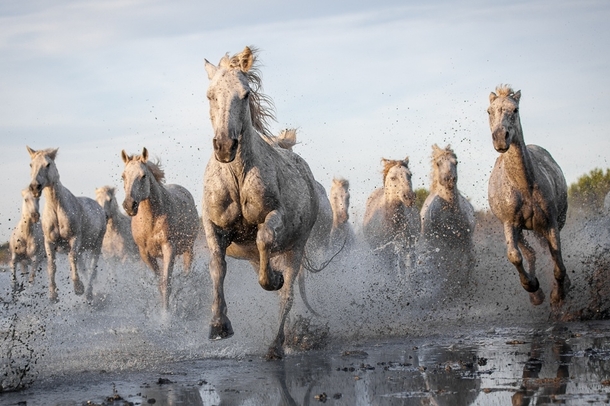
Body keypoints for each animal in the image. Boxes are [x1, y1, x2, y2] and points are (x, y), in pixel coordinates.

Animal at [26, 146, 105, 302]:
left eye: (48, 164)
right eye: (31, 165)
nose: (34, 187)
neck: (56, 209)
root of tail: (99, 207)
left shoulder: (74, 238)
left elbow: (71, 258)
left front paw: (78, 288)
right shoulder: (49, 242)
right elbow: (51, 266)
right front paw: (53, 295)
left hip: (96, 245)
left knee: (92, 268)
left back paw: (88, 293)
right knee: (84, 268)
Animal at [121, 147, 200, 310]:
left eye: (143, 175)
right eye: (123, 176)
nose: (129, 205)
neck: (151, 222)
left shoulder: (169, 248)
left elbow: (166, 285)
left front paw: (166, 314)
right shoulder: (145, 254)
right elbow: (159, 283)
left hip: (188, 249)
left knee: (187, 272)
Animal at [201, 46, 324, 360]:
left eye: (245, 95)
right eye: (210, 95)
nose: (224, 147)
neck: (237, 175)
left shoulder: (273, 216)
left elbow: (264, 238)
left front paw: (273, 279)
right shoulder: (213, 225)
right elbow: (217, 266)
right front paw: (219, 325)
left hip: (296, 248)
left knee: (286, 296)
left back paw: (277, 345)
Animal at [484, 85, 568, 308]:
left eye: (515, 109)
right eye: (489, 111)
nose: (500, 137)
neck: (523, 186)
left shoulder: (551, 223)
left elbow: (557, 260)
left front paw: (558, 295)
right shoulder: (510, 223)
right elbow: (515, 256)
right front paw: (532, 287)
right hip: (522, 230)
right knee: (530, 253)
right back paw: (535, 292)